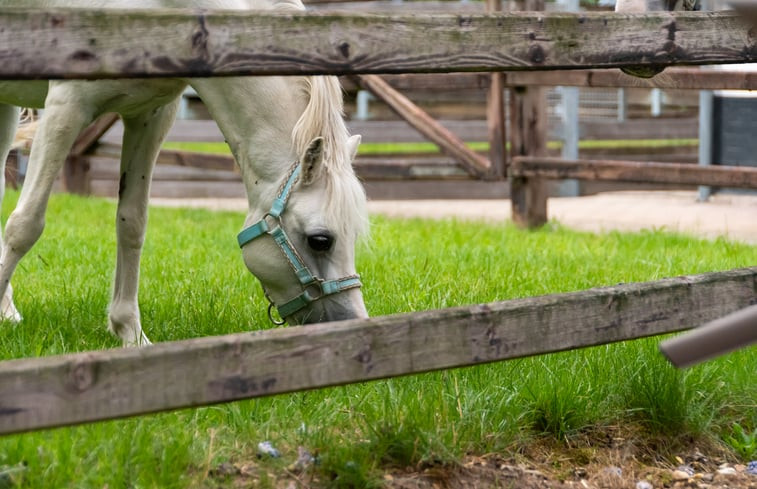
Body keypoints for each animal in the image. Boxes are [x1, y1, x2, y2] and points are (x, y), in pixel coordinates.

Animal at [0, 0, 370, 346]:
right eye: (320, 240)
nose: (351, 323)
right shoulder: (67, 106)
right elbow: (26, 224)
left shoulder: (150, 115)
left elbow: (132, 223)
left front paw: (130, 333)